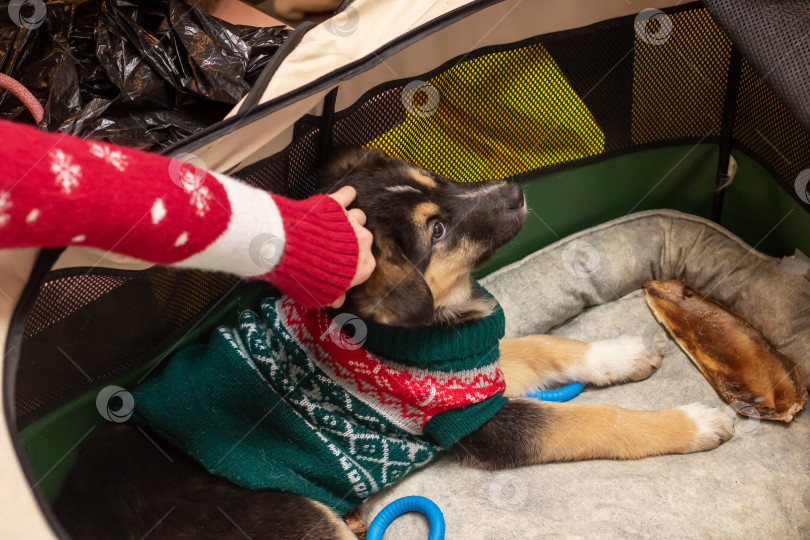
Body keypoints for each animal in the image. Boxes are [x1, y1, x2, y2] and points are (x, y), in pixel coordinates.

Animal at [53, 148, 728, 540]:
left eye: (441, 182)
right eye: (438, 229)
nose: (515, 191)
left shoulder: (469, 371)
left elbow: (541, 347)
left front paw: (623, 354)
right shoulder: (481, 424)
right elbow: (599, 421)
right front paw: (695, 423)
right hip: (289, 517)